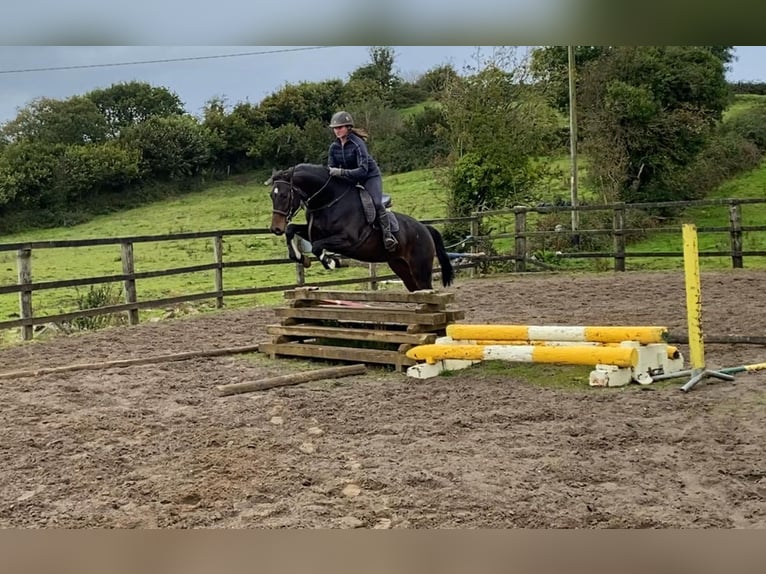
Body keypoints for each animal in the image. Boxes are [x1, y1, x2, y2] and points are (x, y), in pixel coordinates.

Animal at [268, 165, 452, 292]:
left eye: (284, 195)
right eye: (271, 195)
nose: (276, 228)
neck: (329, 201)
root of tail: (425, 229)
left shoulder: (348, 241)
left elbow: (317, 246)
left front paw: (331, 262)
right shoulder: (313, 232)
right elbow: (292, 230)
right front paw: (301, 258)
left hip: (420, 269)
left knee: (426, 288)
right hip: (401, 267)